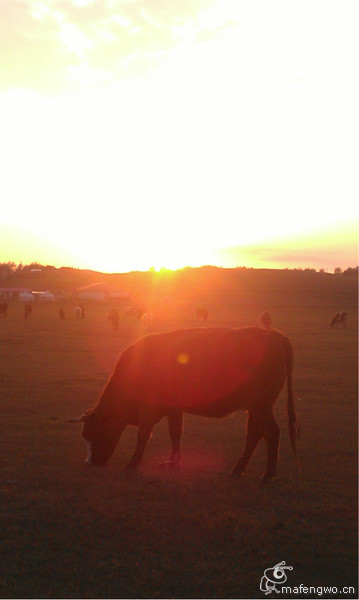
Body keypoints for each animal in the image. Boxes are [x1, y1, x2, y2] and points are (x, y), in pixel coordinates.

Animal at [68, 328, 300, 482]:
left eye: (91, 434)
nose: (91, 463)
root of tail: (274, 335)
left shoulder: (148, 408)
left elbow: (143, 435)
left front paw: (133, 463)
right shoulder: (174, 408)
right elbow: (175, 433)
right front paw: (173, 462)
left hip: (261, 405)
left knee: (271, 433)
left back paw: (268, 474)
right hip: (255, 406)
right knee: (254, 433)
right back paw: (238, 469)